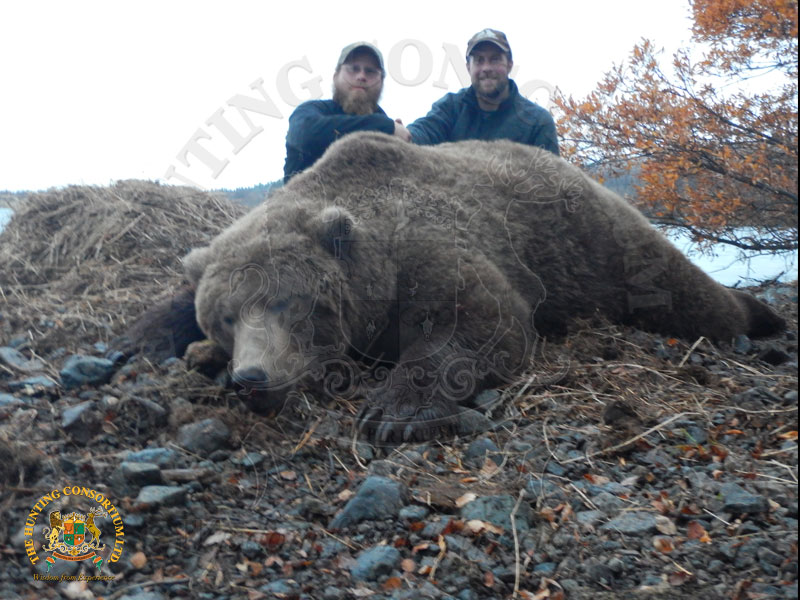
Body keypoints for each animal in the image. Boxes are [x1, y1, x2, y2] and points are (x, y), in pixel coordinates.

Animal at [123, 132, 785, 444]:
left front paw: (396, 412)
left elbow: (483, 321)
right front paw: (153, 337)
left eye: (292, 304)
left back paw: (762, 317)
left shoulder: (432, 246)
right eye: (226, 316)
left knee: (687, 295)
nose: (253, 378)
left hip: (607, 244)